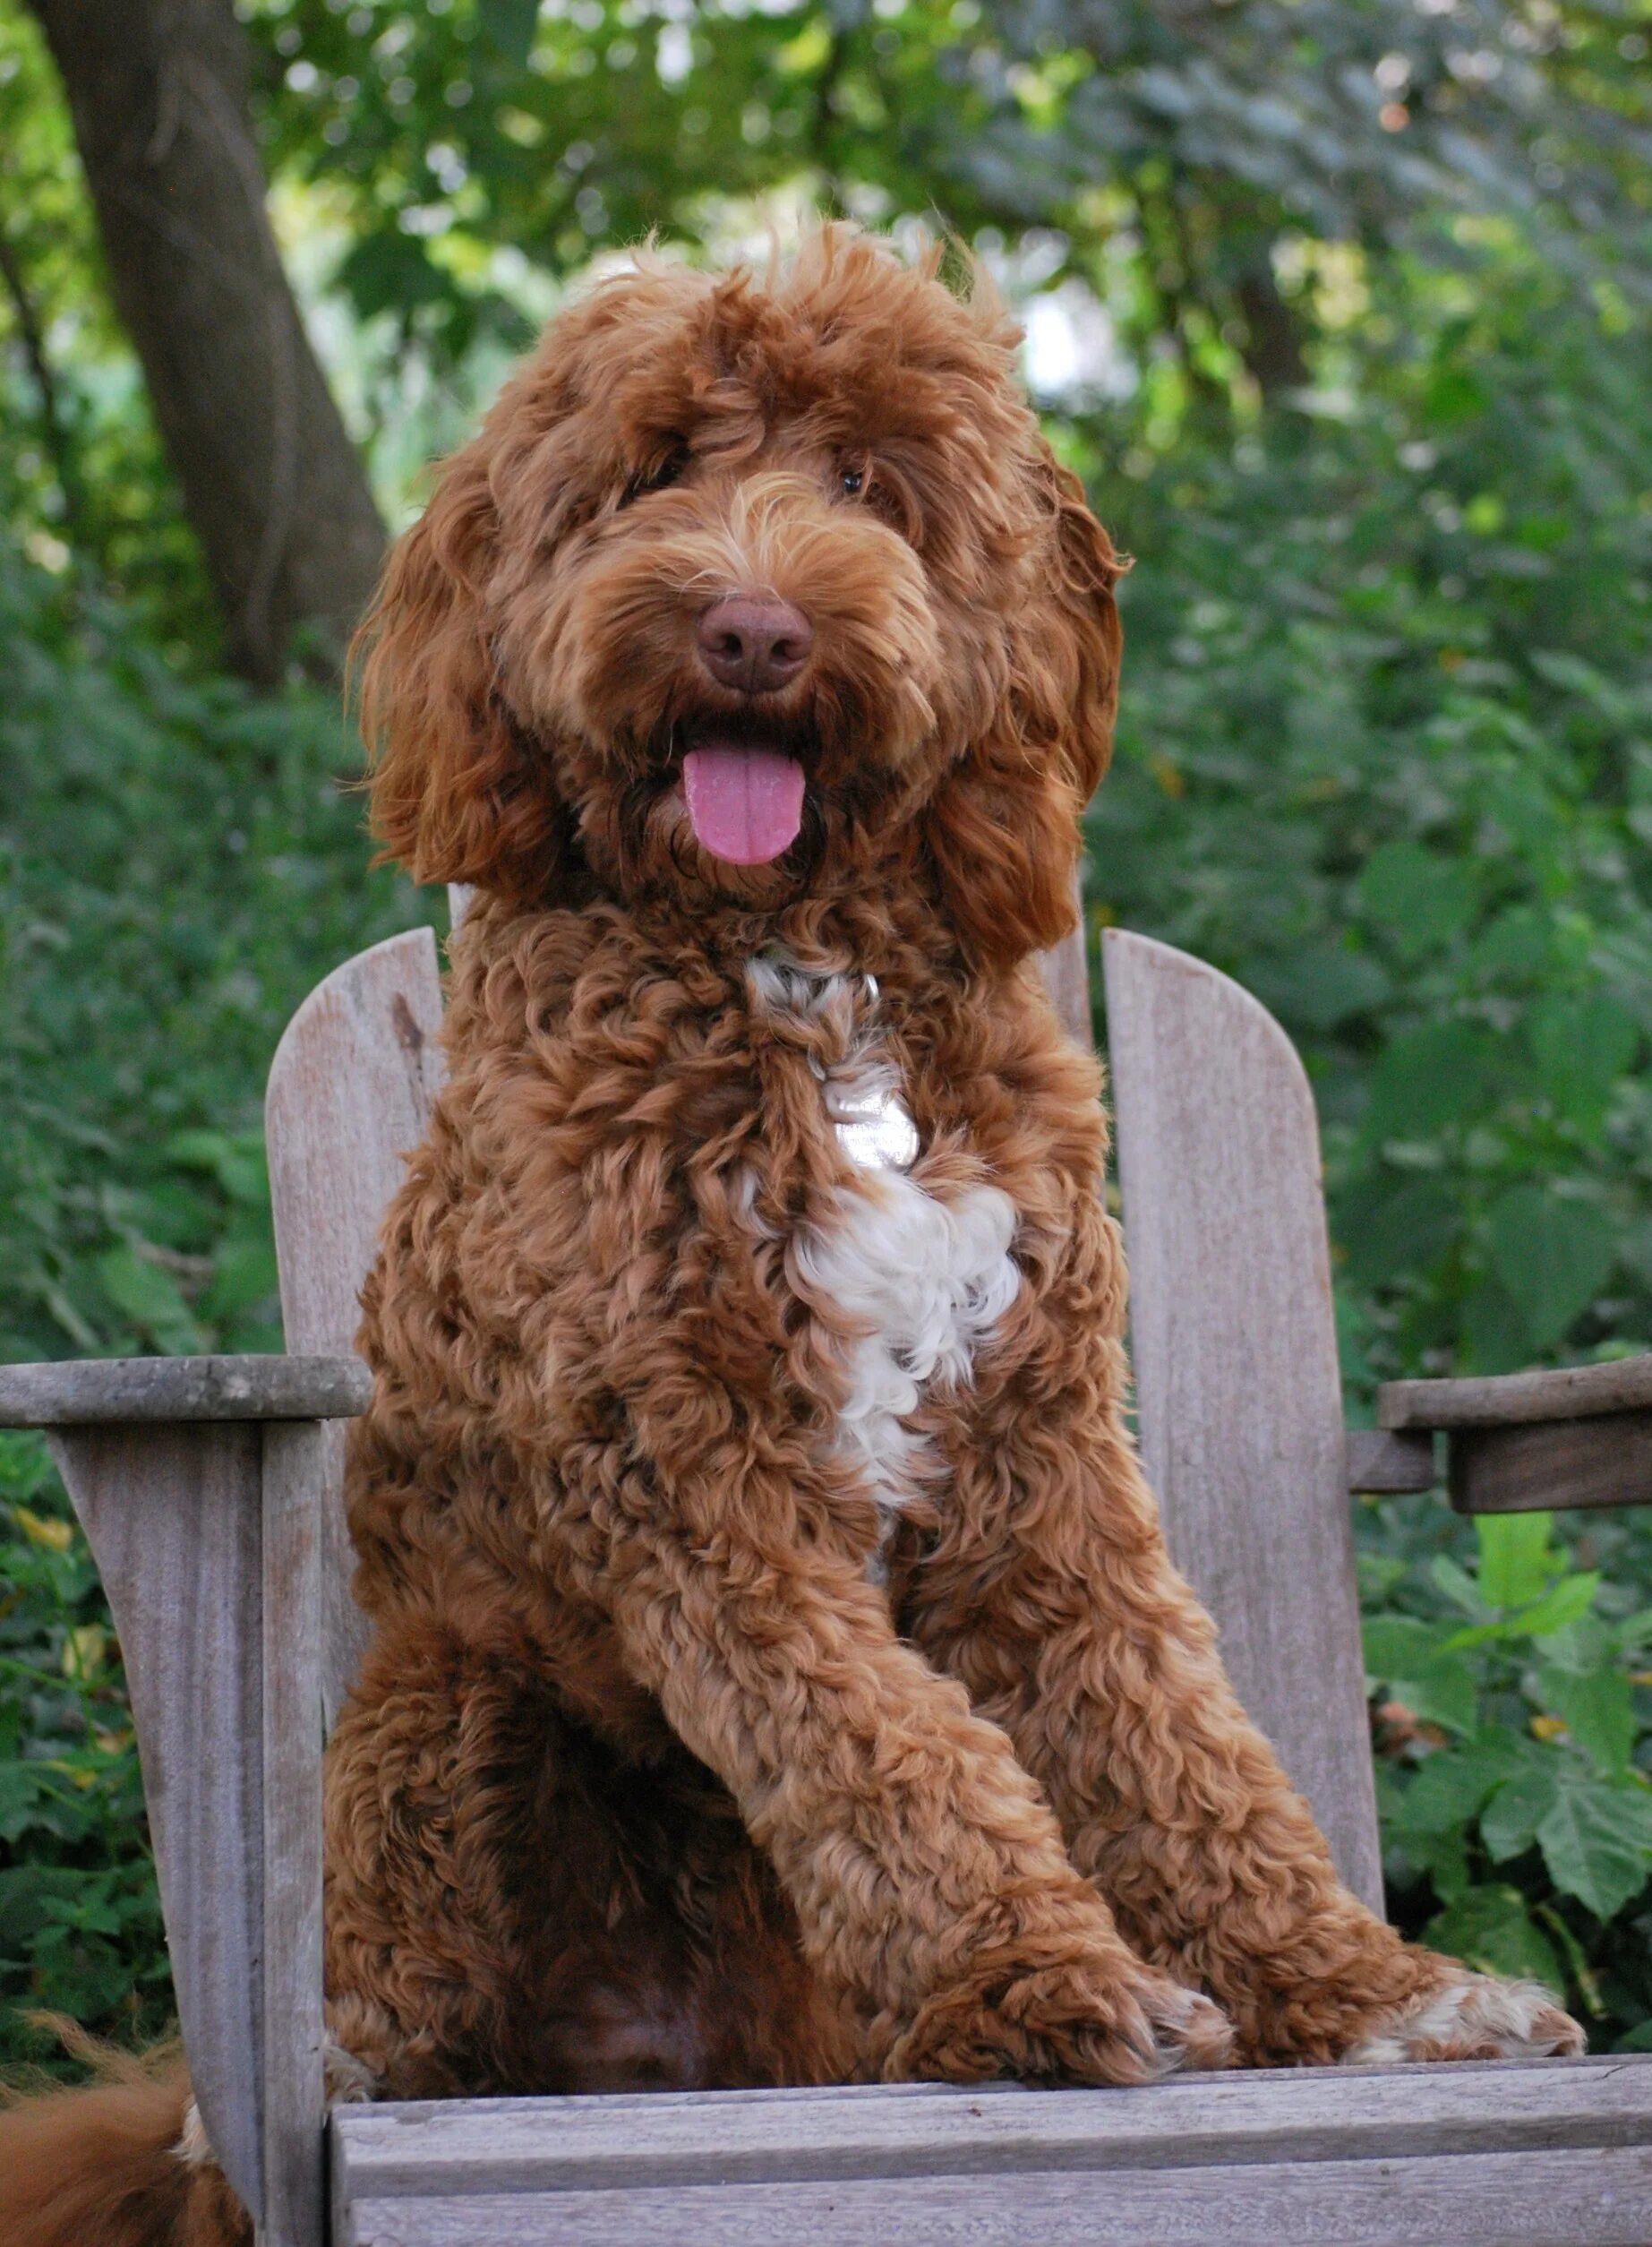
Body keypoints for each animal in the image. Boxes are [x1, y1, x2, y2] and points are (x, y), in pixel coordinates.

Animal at [0, 227, 1582, 2247]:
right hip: (452, 1710)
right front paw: (1043, 1978)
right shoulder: (692, 1468)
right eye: (656, 469)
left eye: (865, 481)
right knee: (376, 2016)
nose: (753, 629)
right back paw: (324, 2080)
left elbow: (1182, 1745)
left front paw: (1371, 1993)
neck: (800, 969)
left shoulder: (1040, 1456)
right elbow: (885, 1747)